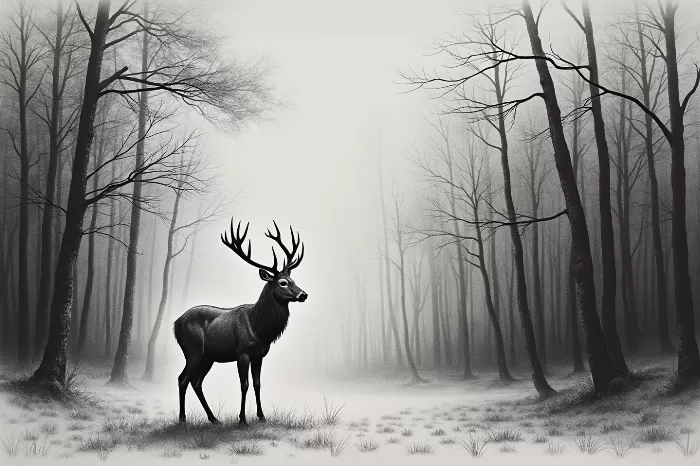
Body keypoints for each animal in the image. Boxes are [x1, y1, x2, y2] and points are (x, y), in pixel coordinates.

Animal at [174, 219, 307, 426]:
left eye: (293, 280)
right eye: (283, 283)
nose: (303, 294)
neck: (259, 328)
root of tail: (175, 323)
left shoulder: (259, 355)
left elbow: (257, 384)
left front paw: (261, 416)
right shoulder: (242, 352)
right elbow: (244, 385)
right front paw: (242, 419)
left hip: (208, 356)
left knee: (196, 381)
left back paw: (213, 419)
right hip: (192, 349)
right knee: (183, 378)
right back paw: (182, 420)